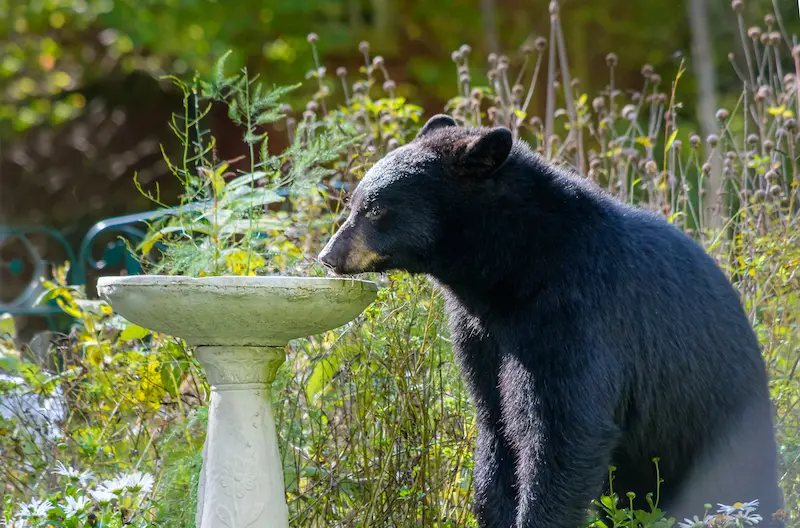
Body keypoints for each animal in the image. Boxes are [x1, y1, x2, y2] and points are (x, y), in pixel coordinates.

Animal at [317, 114, 784, 528]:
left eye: (375, 209)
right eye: (355, 203)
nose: (328, 255)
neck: (510, 271)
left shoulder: (575, 314)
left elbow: (564, 427)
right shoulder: (479, 332)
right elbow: (494, 419)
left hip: (718, 425)